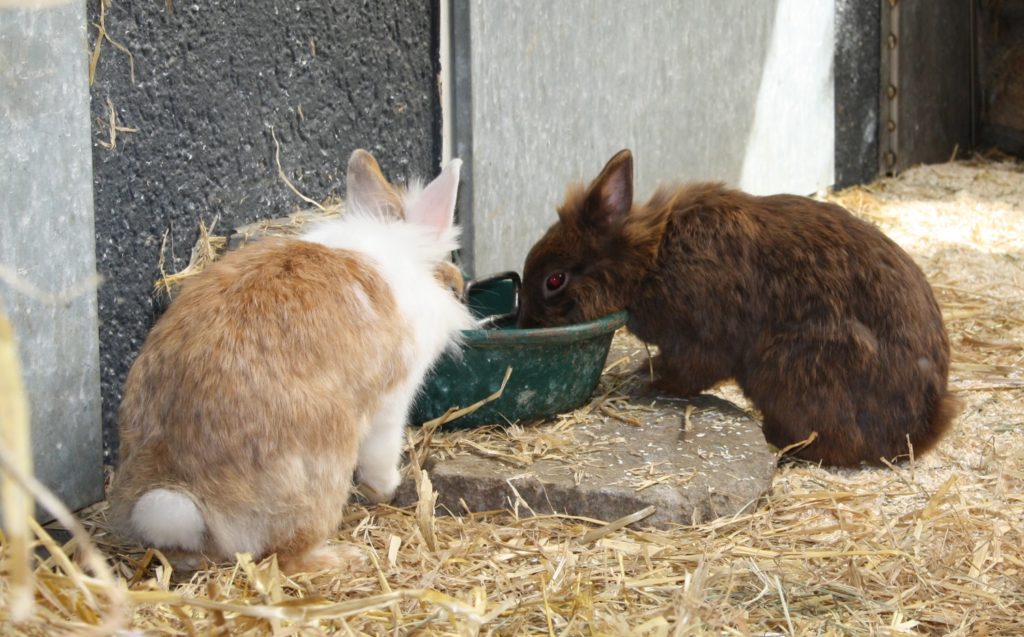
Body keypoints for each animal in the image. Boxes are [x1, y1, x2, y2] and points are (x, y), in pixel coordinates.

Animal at [110, 148, 473, 573]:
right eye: (452, 281)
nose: (461, 289)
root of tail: (185, 490)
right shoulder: (392, 402)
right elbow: (381, 455)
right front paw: (387, 489)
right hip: (325, 458)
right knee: (286, 555)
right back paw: (342, 557)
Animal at [520, 151, 958, 466]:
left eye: (554, 280)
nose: (526, 323)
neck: (650, 260)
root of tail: (922, 426)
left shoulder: (699, 340)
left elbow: (687, 372)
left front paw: (640, 381)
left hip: (791, 367)